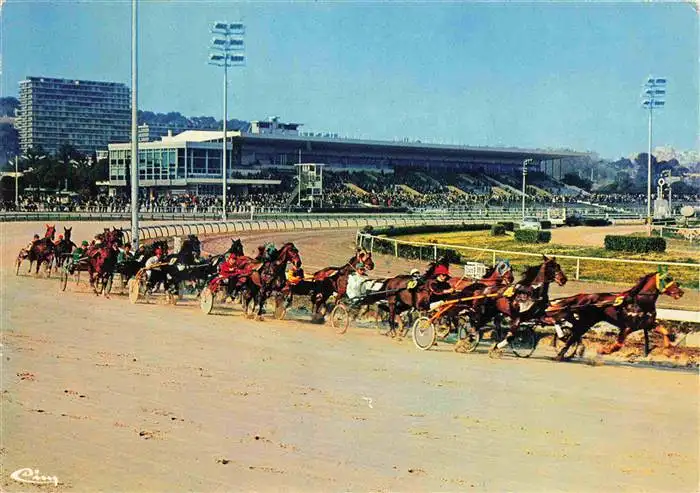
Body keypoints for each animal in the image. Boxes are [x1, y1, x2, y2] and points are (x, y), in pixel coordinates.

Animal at [540, 270, 684, 360]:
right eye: (667, 279)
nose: (681, 292)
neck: (639, 301)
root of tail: (583, 296)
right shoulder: (627, 327)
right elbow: (618, 345)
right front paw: (603, 350)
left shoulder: (647, 323)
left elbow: (664, 331)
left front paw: (667, 348)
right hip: (586, 321)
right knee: (572, 335)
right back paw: (561, 354)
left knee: (574, 334)